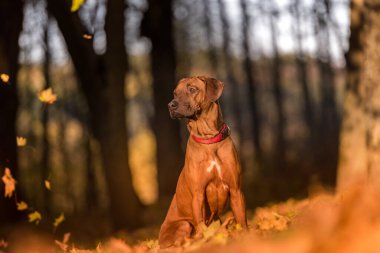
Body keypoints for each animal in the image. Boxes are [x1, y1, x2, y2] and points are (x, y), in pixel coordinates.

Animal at [158, 75, 249, 247]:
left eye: (192, 89)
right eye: (175, 93)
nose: (170, 105)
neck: (209, 140)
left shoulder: (236, 190)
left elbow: (242, 220)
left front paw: (247, 236)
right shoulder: (198, 194)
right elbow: (201, 225)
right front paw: (204, 241)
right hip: (184, 224)